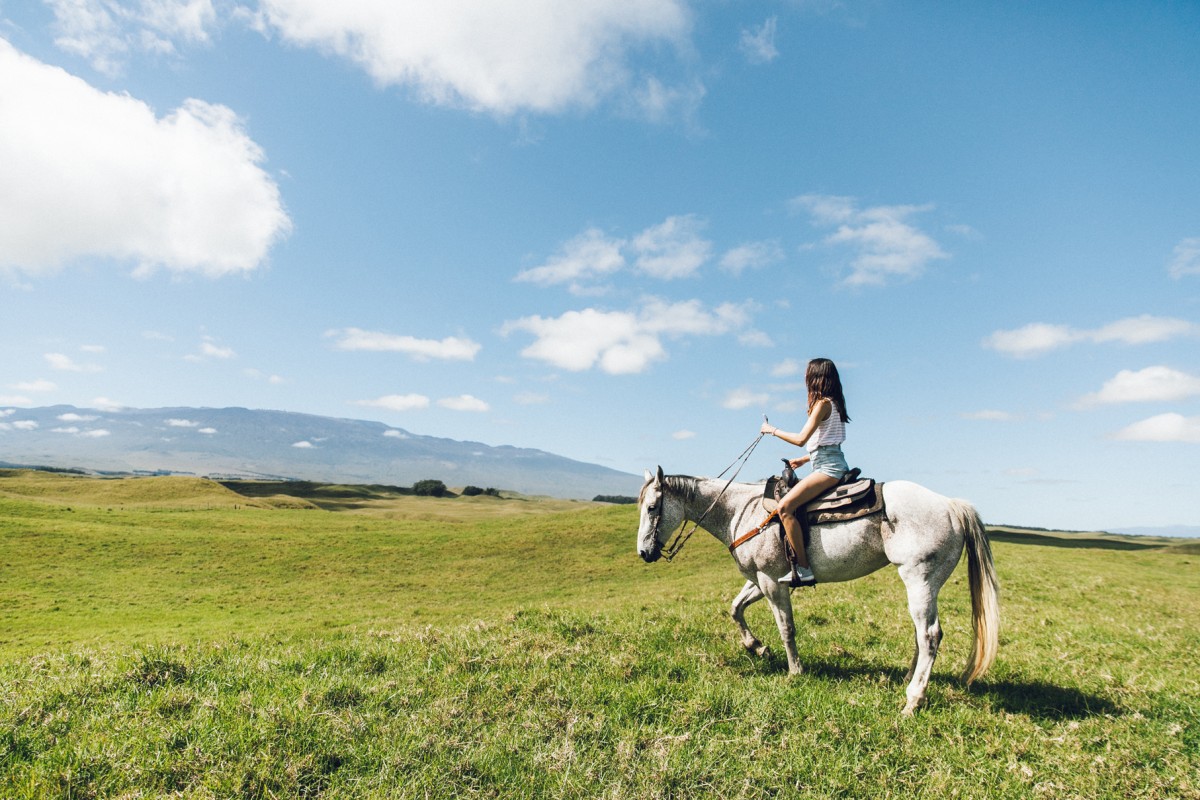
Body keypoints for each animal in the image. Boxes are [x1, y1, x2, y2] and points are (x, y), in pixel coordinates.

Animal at [638, 465, 1003, 714]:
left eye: (652, 508)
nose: (644, 553)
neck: (742, 511)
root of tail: (951, 505)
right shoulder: (761, 579)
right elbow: (735, 608)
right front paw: (757, 648)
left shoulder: (771, 581)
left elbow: (786, 627)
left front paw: (794, 671)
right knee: (921, 633)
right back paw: (908, 681)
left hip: (920, 578)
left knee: (929, 634)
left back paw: (913, 700)